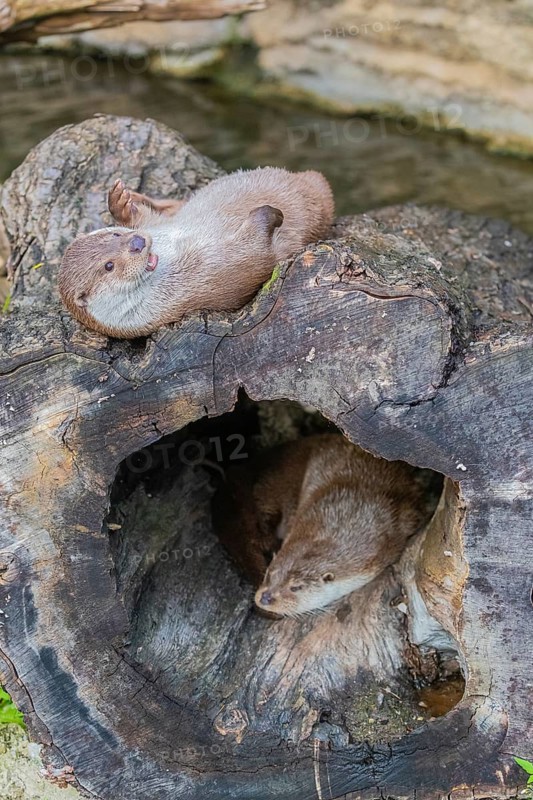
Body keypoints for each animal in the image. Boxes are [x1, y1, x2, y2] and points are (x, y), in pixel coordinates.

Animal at [58, 167, 334, 338]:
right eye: (109, 266)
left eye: (116, 235)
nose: (137, 242)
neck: (175, 245)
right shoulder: (204, 278)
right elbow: (256, 255)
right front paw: (268, 214)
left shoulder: (157, 225)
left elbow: (146, 217)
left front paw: (120, 204)